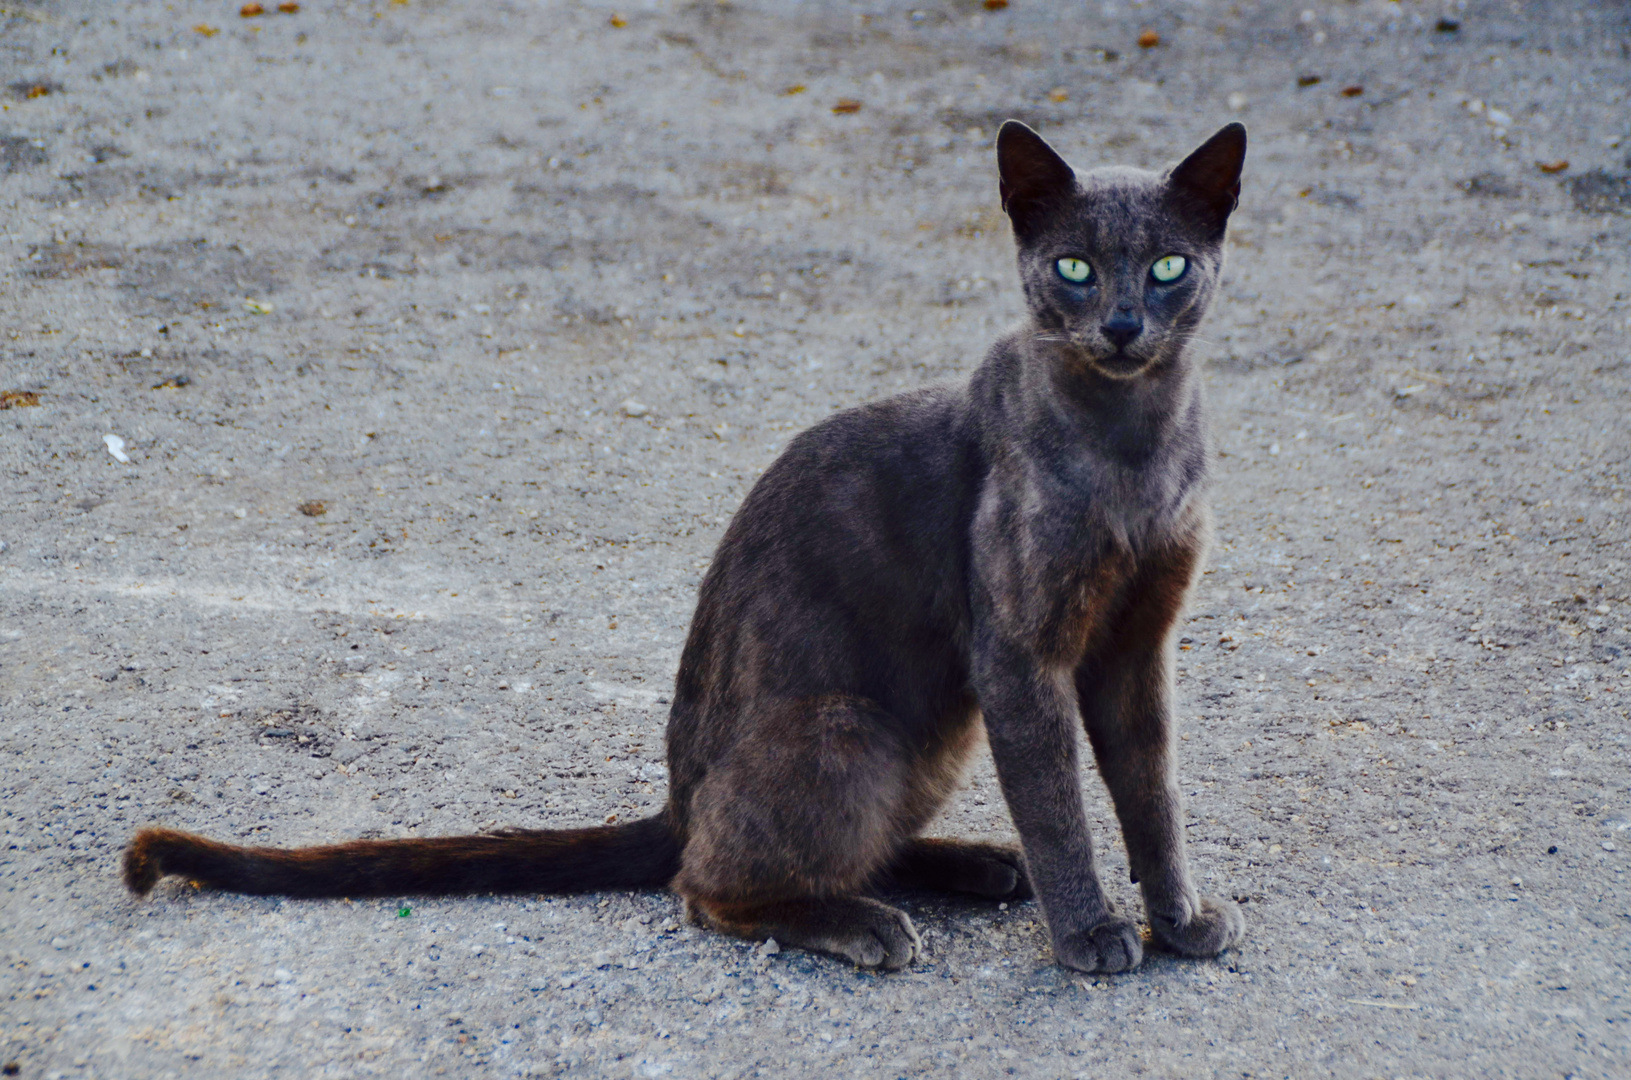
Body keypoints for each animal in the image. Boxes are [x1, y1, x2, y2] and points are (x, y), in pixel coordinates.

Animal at [123, 120, 1246, 978]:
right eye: (1071, 269)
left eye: (1165, 267)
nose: (1120, 323)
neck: (1133, 449)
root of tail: (672, 797)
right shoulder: (1020, 656)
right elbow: (1060, 809)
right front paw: (1090, 935)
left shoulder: (1136, 647)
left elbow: (1153, 795)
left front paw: (1178, 920)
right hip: (852, 730)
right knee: (705, 884)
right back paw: (870, 923)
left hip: (931, 736)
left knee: (818, 854)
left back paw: (972, 867)